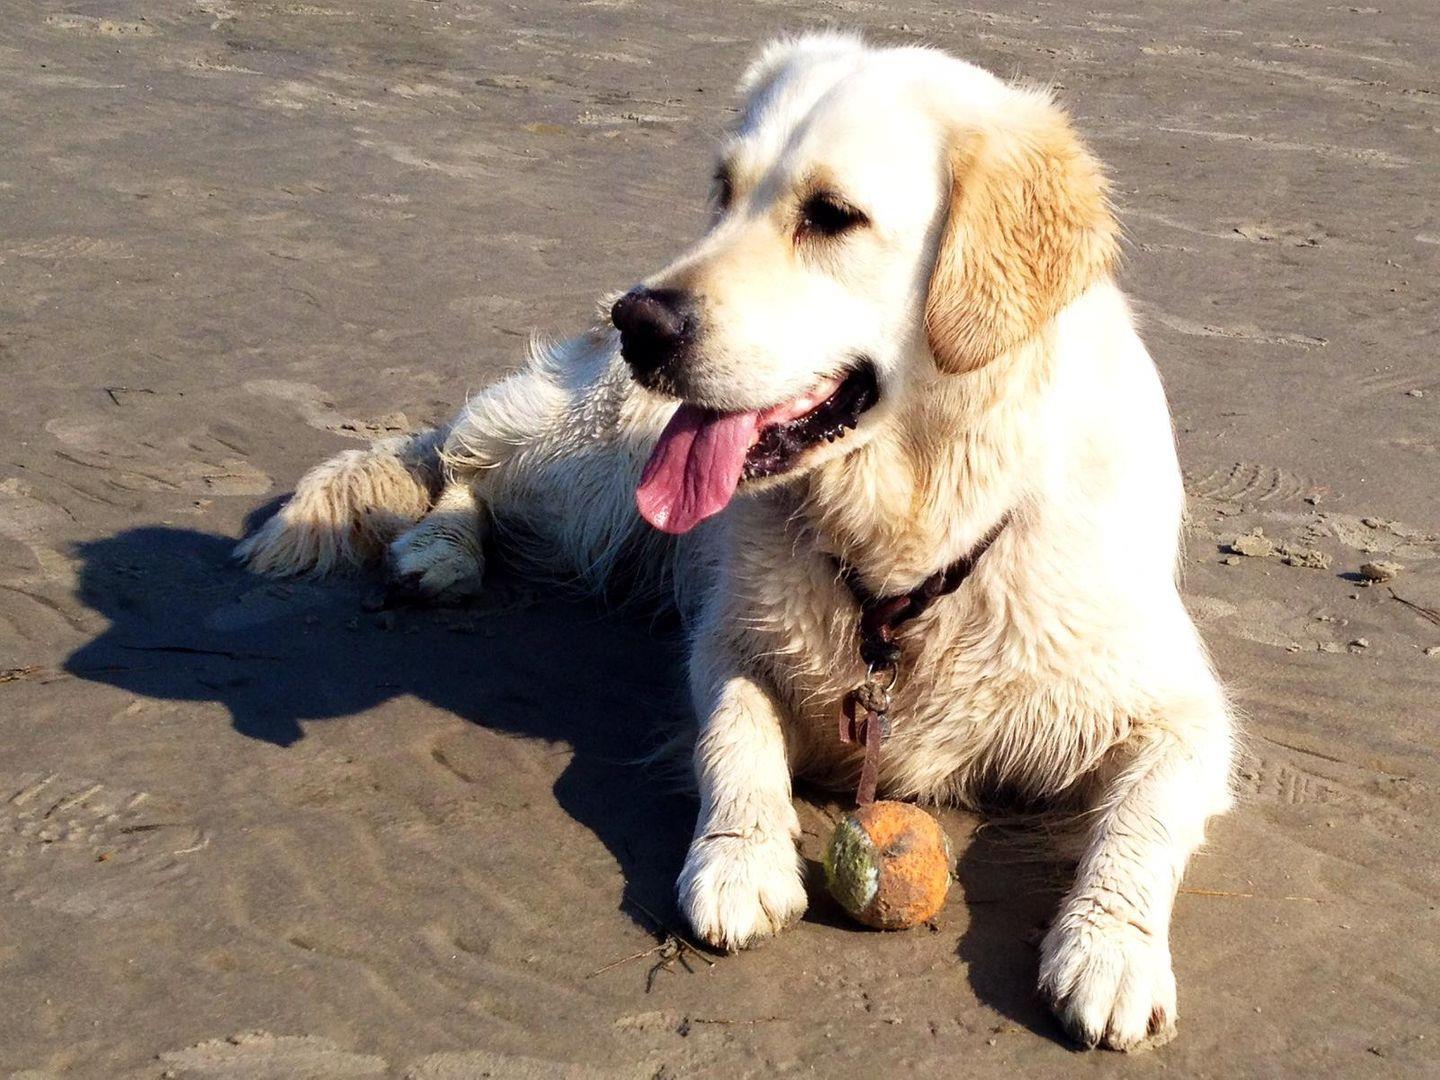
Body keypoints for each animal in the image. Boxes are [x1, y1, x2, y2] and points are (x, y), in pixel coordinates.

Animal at [236, 32, 1235, 1051]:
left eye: (832, 216)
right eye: (722, 189)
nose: (639, 321)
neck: (917, 533)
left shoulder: (1181, 709)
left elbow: (1142, 818)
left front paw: (1111, 950)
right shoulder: (730, 638)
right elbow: (735, 732)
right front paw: (740, 862)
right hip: (590, 463)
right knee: (463, 458)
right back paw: (440, 549)